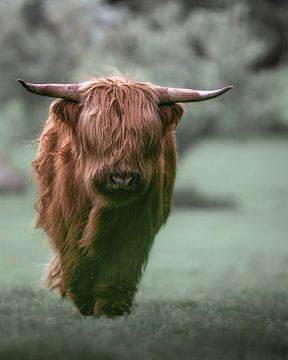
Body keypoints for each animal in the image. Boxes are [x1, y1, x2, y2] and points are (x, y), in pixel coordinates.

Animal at [18, 74, 232, 316]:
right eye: (99, 135)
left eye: (144, 138)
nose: (122, 179)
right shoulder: (69, 222)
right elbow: (78, 259)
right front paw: (84, 303)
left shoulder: (138, 223)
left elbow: (122, 265)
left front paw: (112, 307)